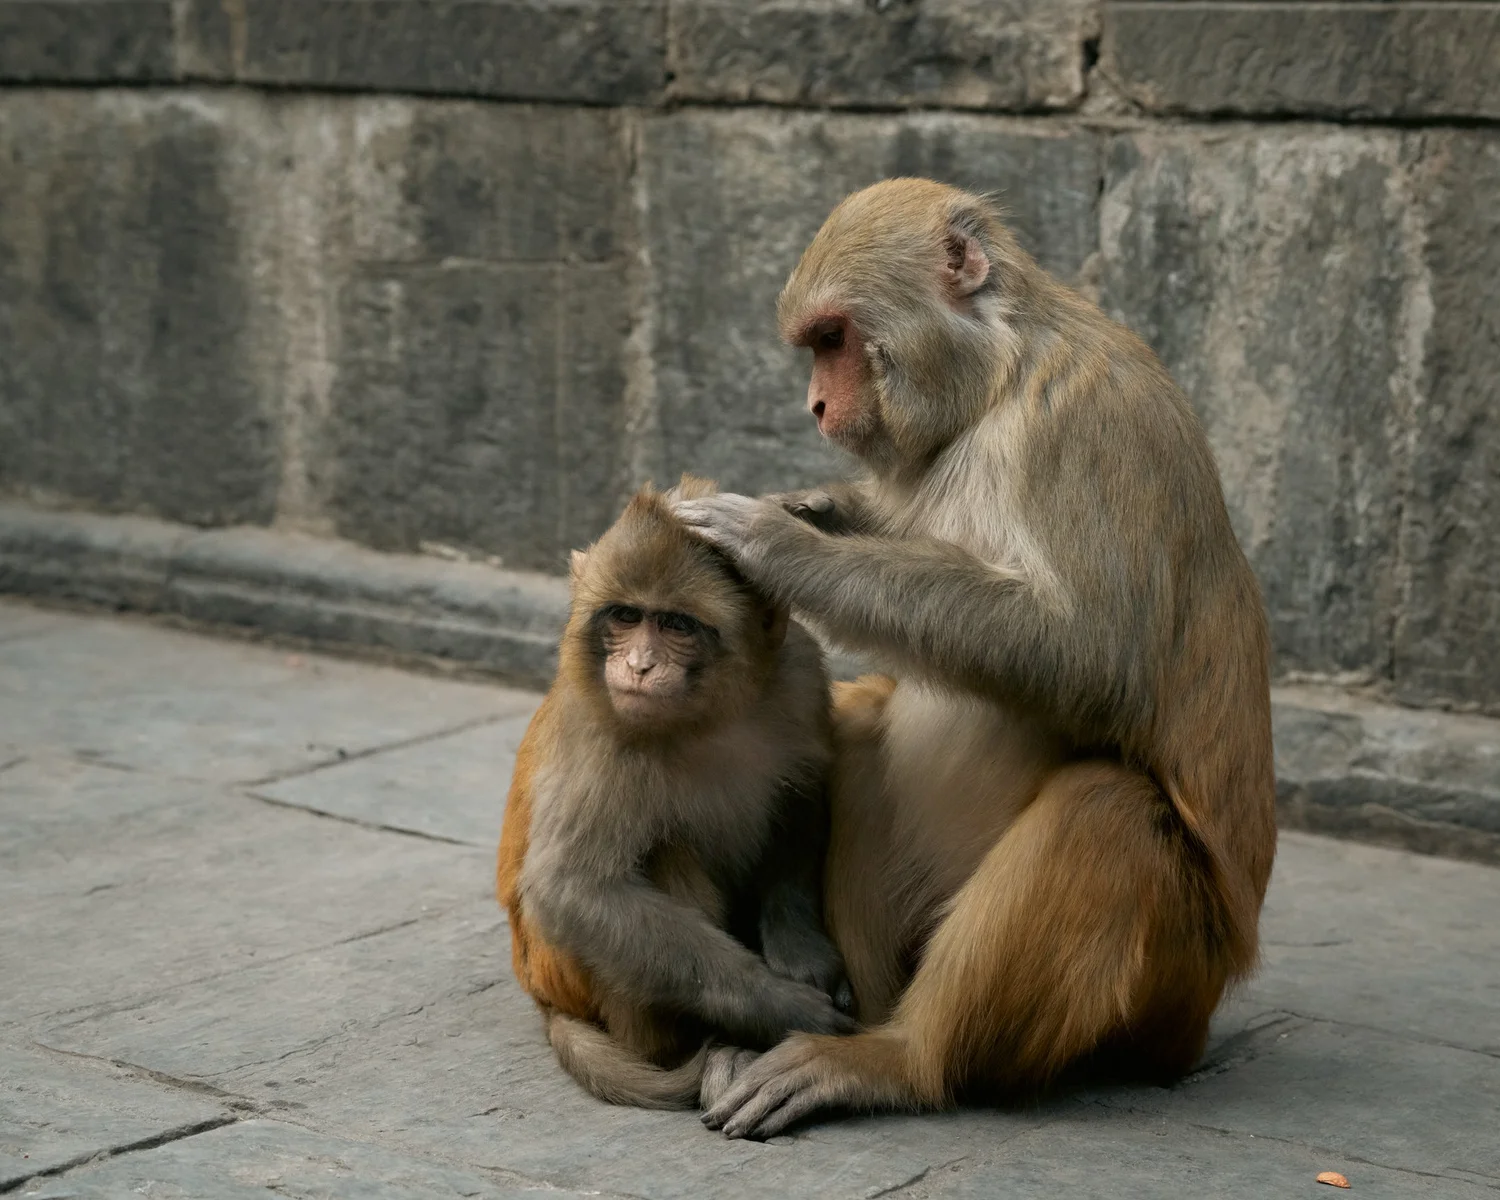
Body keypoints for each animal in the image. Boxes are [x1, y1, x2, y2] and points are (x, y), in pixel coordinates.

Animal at [496, 476, 854, 1111]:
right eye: (625, 616)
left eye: (676, 626)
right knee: (665, 853)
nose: (638, 666)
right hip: (572, 977)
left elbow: (802, 796)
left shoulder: (801, 673)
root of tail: (542, 997)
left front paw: (801, 953)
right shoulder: (603, 732)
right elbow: (574, 889)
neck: (708, 717)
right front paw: (781, 1008)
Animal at [670, 178, 1278, 1137]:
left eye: (833, 339)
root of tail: (1198, 1026)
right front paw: (817, 506)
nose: (815, 408)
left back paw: (898, 1060)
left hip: (1172, 982)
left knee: (1104, 811)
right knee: (862, 721)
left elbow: (1090, 657)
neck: (999, 382)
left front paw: (781, 545)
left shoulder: (1082, 427)